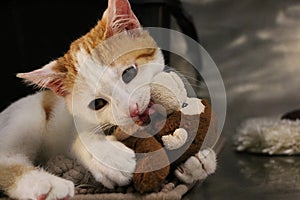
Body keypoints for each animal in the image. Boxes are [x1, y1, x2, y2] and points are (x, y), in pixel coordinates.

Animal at [0, 0, 216, 200]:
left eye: (129, 73)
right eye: (97, 104)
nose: (133, 109)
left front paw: (196, 162)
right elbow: (77, 140)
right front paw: (108, 158)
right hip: (27, 117)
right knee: (7, 157)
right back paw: (44, 184)